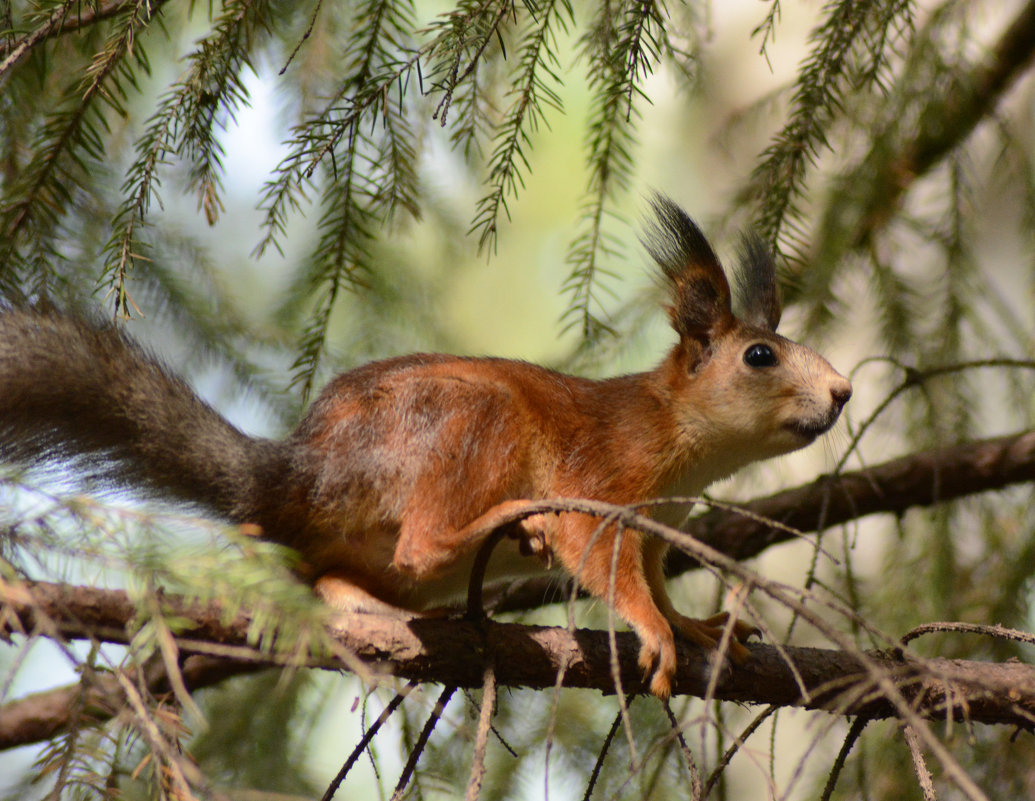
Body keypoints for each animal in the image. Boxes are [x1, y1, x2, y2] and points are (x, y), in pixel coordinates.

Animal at [0, 197, 848, 699]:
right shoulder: (602, 480)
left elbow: (654, 577)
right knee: (421, 541)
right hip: (467, 422)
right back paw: (500, 525)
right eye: (760, 357)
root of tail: (297, 475)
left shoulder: (653, 527)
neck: (674, 433)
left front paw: (697, 624)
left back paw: (366, 603)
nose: (842, 391)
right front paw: (658, 631)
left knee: (331, 577)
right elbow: (600, 558)